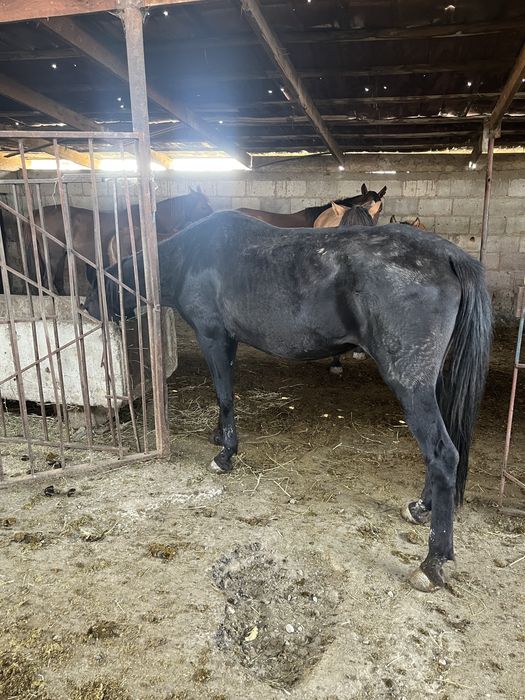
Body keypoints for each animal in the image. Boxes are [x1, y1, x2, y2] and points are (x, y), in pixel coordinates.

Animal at [24, 188, 212, 295]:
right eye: (203, 206)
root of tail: (35, 213)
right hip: (53, 256)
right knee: (47, 281)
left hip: (60, 255)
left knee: (56, 282)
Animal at [84, 210, 491, 592]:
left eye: (97, 287)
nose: (88, 309)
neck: (191, 256)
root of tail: (450, 256)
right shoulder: (228, 340)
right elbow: (223, 391)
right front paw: (219, 436)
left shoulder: (212, 335)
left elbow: (224, 393)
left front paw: (225, 454)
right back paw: (420, 507)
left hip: (410, 383)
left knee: (443, 455)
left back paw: (432, 563)